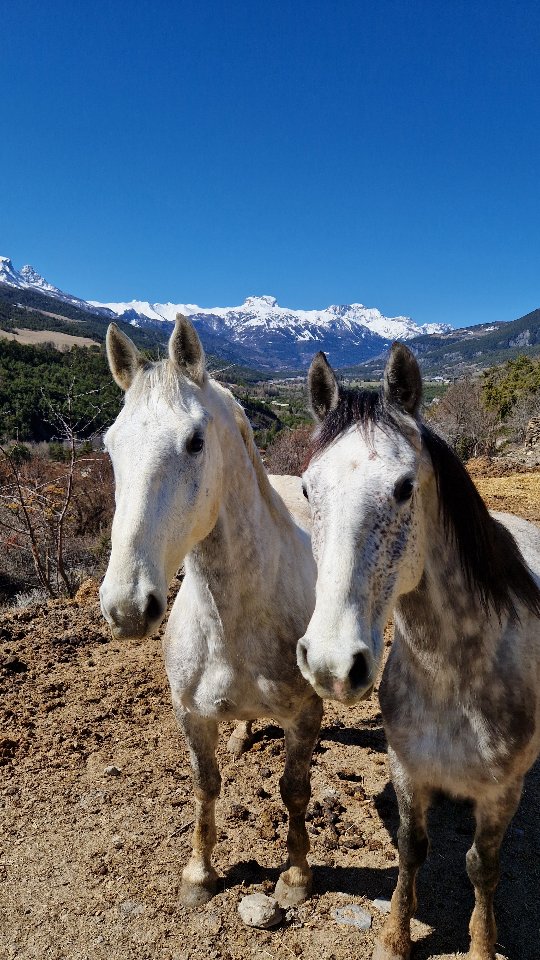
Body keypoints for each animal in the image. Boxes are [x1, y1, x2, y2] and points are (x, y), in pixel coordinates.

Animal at [99, 315, 322, 909]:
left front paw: (296, 876)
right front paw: (199, 874)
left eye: (195, 441)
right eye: (110, 447)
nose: (127, 608)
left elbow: (295, 790)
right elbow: (205, 785)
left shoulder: (305, 716)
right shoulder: (192, 716)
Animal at [298, 342, 540, 960]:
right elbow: (410, 848)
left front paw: (481, 946)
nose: (332, 665)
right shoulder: (406, 767)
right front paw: (394, 936)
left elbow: (482, 867)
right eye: (307, 489)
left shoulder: (503, 793)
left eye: (405, 487)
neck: (454, 675)